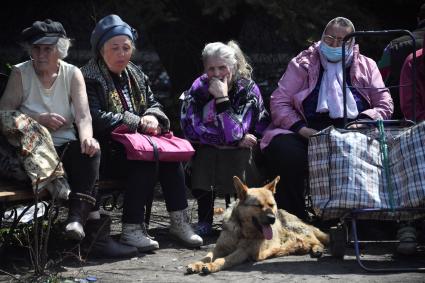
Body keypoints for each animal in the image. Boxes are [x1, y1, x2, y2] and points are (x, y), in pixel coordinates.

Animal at [187, 178, 330, 276]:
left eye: (271, 205)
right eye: (258, 206)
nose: (273, 219)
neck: (241, 230)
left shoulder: (243, 252)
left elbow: (223, 260)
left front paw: (211, 266)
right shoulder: (220, 248)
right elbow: (207, 256)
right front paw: (197, 263)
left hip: (295, 230)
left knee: (317, 240)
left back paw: (316, 248)